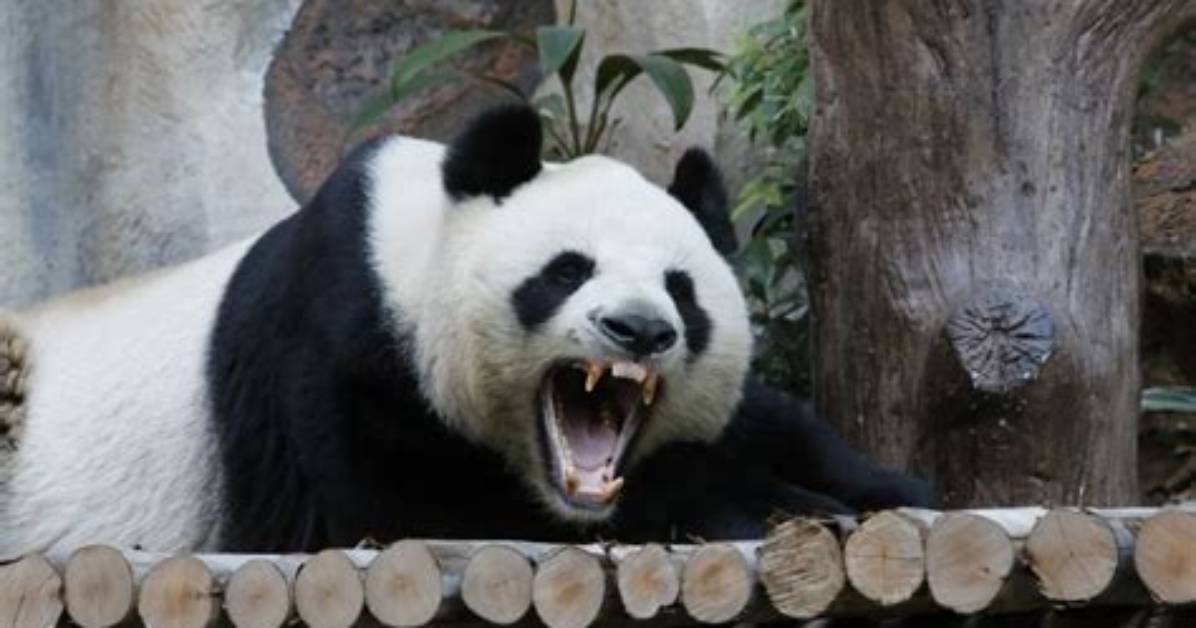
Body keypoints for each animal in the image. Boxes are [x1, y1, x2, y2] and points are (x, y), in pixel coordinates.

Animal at [0, 104, 933, 556]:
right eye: (567, 271)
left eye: (682, 291)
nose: (638, 331)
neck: (410, 248)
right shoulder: (342, 348)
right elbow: (412, 502)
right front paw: (773, 506)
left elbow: (771, 421)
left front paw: (877, 486)